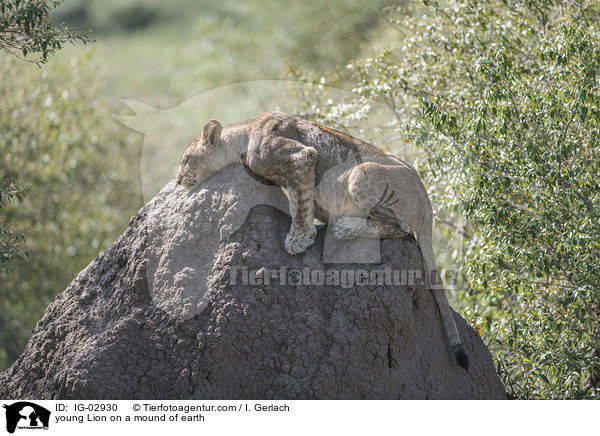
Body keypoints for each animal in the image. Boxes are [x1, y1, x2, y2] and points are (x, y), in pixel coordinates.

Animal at [176, 110, 472, 370]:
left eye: (186, 159)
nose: (178, 181)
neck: (244, 134)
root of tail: (428, 203)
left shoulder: (302, 156)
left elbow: (300, 202)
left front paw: (300, 238)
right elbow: (298, 198)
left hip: (362, 172)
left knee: (402, 230)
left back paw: (343, 228)